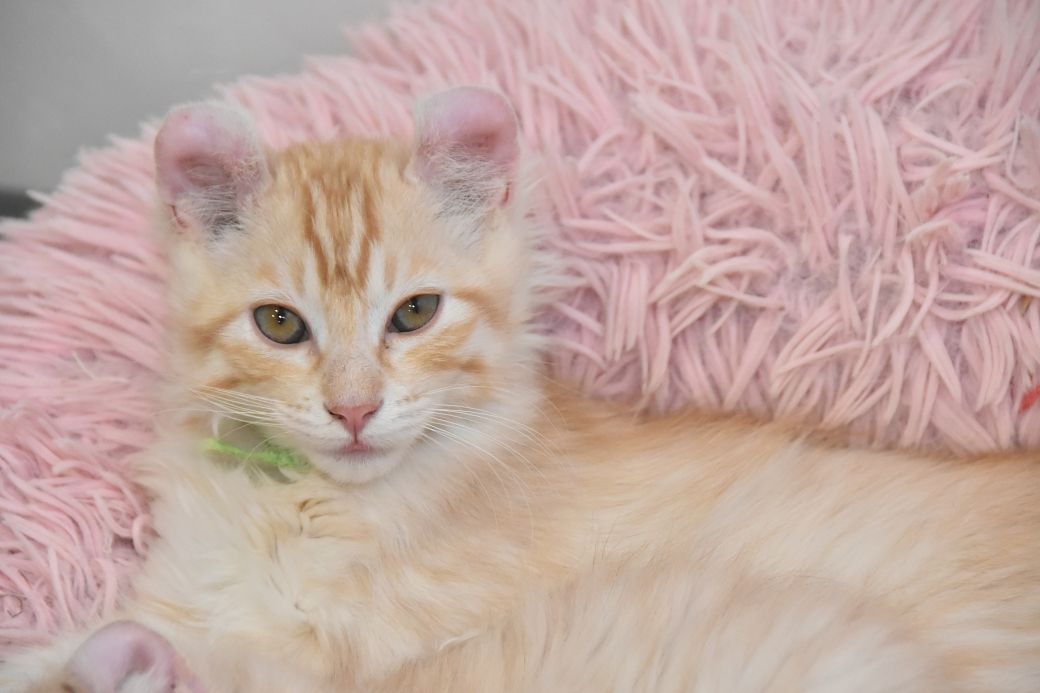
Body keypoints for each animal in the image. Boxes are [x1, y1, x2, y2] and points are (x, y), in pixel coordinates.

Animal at [2, 86, 1038, 692]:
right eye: (281, 325)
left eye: (416, 313)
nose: (353, 410)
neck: (301, 502)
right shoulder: (187, 593)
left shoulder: (342, 655)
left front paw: (111, 663)